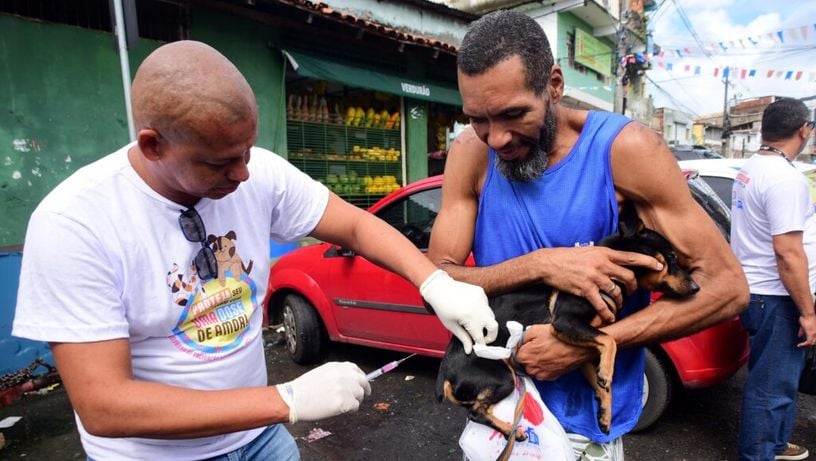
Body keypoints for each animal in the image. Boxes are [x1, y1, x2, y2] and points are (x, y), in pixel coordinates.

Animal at [436, 205, 700, 438]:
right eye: (670, 258)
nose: (697, 287)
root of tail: (444, 373)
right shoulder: (566, 322)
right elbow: (610, 340)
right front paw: (607, 372)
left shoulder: (580, 352)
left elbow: (603, 385)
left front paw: (605, 413)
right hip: (502, 377)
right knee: (475, 413)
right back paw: (514, 431)